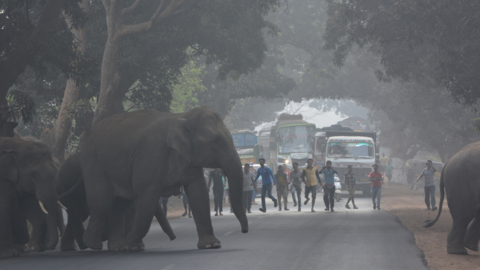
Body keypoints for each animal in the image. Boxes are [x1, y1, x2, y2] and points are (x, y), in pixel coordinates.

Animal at [79, 106, 248, 251]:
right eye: (215, 141)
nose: (243, 231)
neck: (182, 116)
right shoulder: (151, 155)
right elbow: (147, 197)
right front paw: (133, 245)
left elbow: (198, 192)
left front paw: (211, 245)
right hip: (93, 163)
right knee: (101, 200)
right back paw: (93, 244)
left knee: (120, 204)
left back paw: (117, 247)